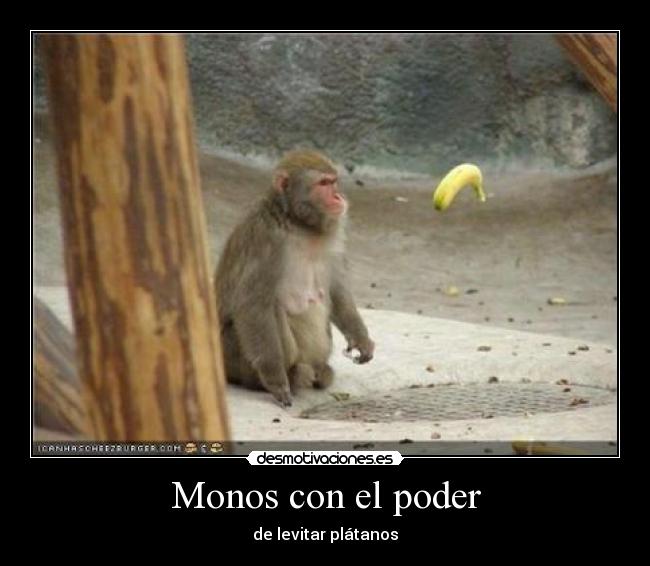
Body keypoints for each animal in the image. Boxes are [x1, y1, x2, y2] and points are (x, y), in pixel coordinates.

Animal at [214, 150, 375, 407]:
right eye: (323, 184)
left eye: (334, 181)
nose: (338, 197)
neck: (298, 224)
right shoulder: (266, 239)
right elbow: (253, 303)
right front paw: (276, 380)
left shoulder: (335, 233)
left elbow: (336, 289)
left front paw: (361, 340)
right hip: (232, 356)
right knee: (272, 308)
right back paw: (289, 375)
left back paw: (321, 371)